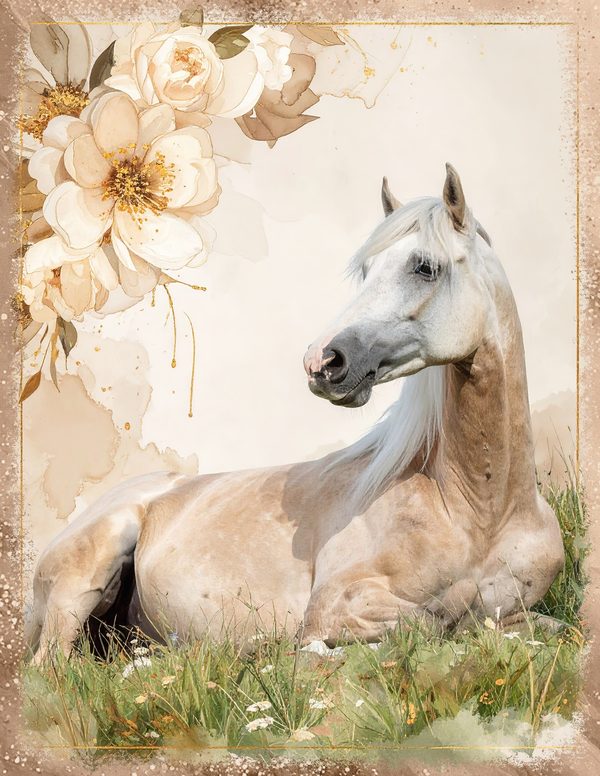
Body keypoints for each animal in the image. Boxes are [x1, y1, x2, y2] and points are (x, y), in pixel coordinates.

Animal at [27, 163, 564, 661]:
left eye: (425, 267)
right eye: (368, 271)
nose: (322, 361)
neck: (479, 509)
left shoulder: (524, 611)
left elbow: (538, 625)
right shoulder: (336, 605)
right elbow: (437, 620)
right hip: (84, 579)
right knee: (52, 664)